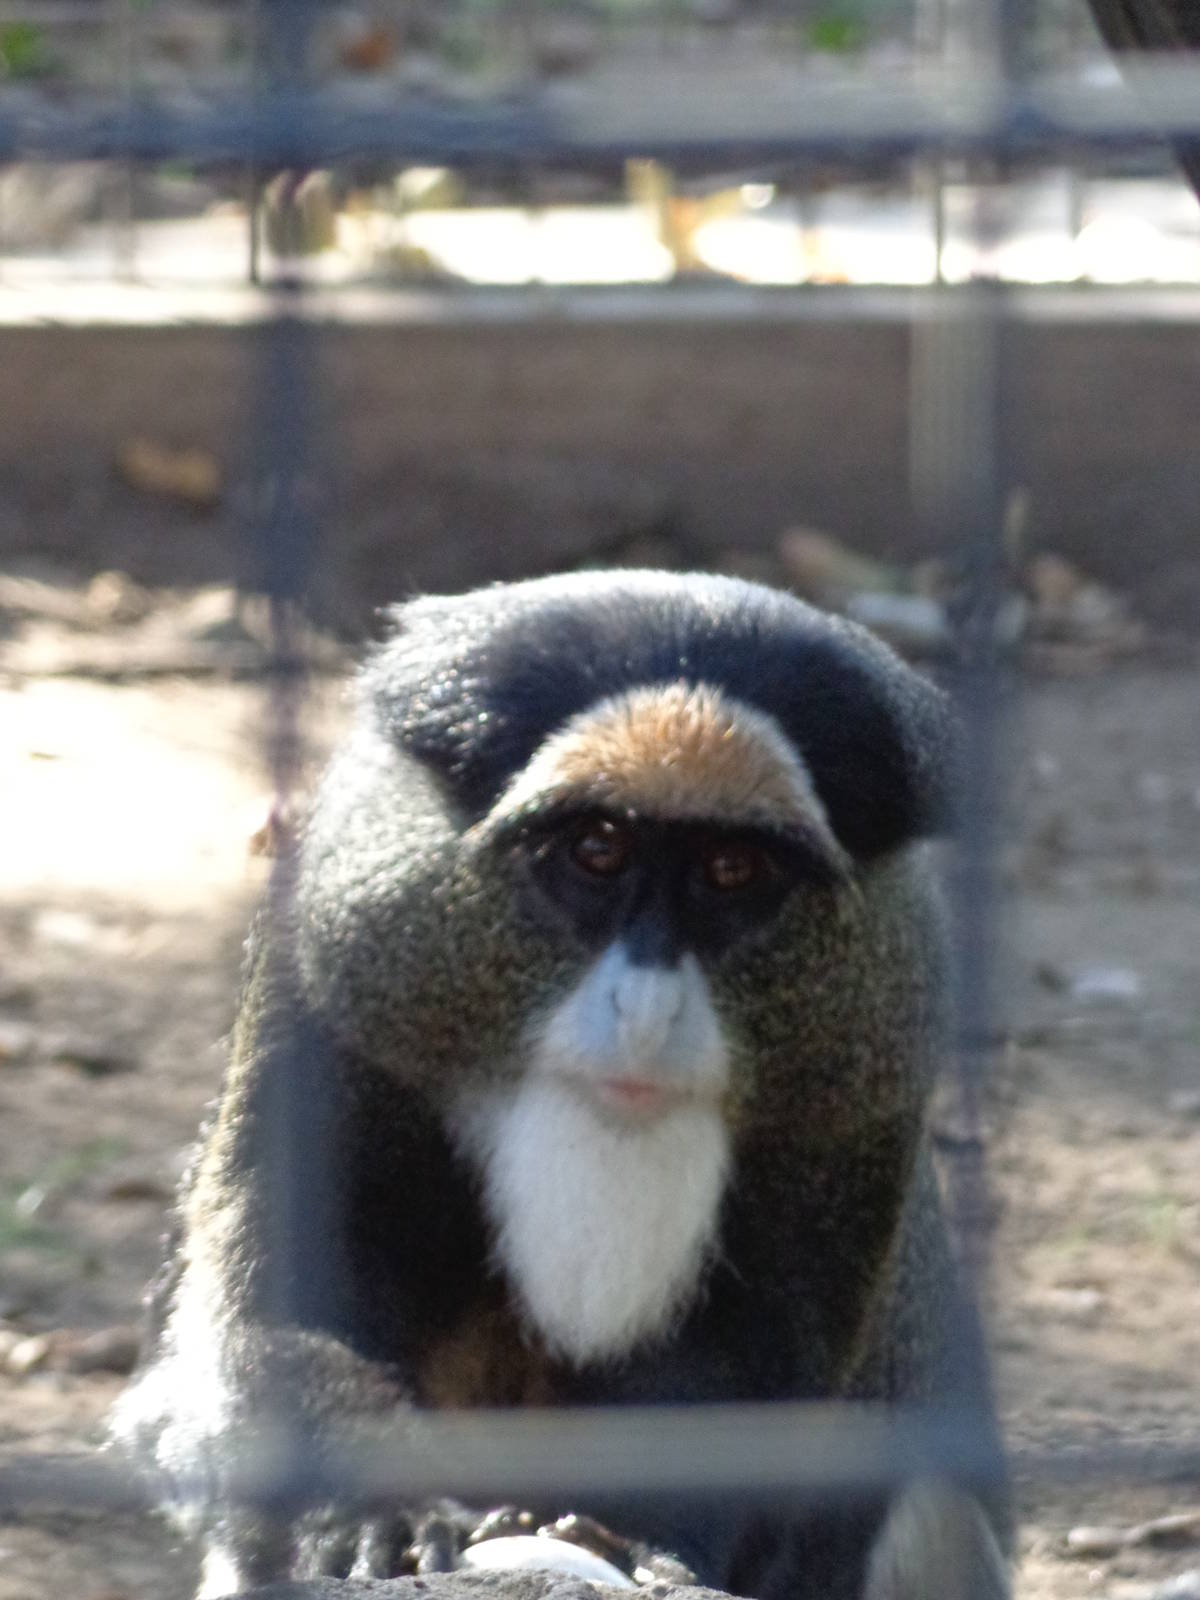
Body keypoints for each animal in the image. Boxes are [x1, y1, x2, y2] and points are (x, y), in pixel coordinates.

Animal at [112, 568, 1010, 1600]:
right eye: (597, 850)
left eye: (731, 869)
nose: (646, 1011)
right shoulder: (331, 998)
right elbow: (255, 1337)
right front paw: (379, 1514)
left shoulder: (857, 1092)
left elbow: (751, 1387)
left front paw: (626, 1541)